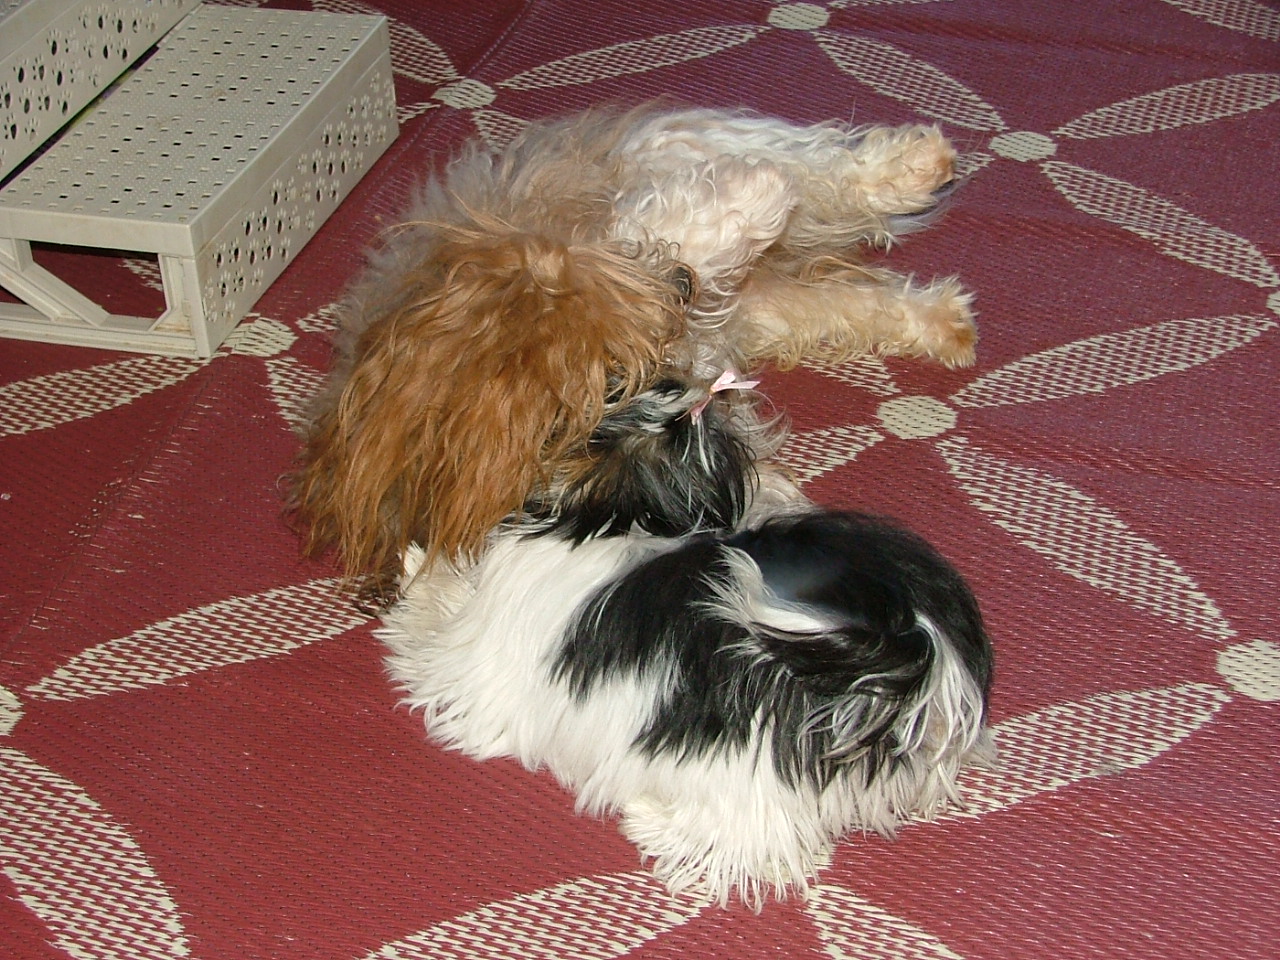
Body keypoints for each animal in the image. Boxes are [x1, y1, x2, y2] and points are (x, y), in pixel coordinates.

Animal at [288, 104, 967, 601]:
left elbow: (687, 238)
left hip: (687, 156)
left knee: (818, 172)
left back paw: (909, 169)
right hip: (756, 282)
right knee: (836, 282)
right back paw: (944, 316)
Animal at [384, 378, 993, 911]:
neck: (626, 518)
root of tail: (911, 647)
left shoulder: (489, 657)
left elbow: (439, 628)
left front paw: (416, 580)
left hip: (741, 764)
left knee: (747, 839)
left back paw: (652, 822)